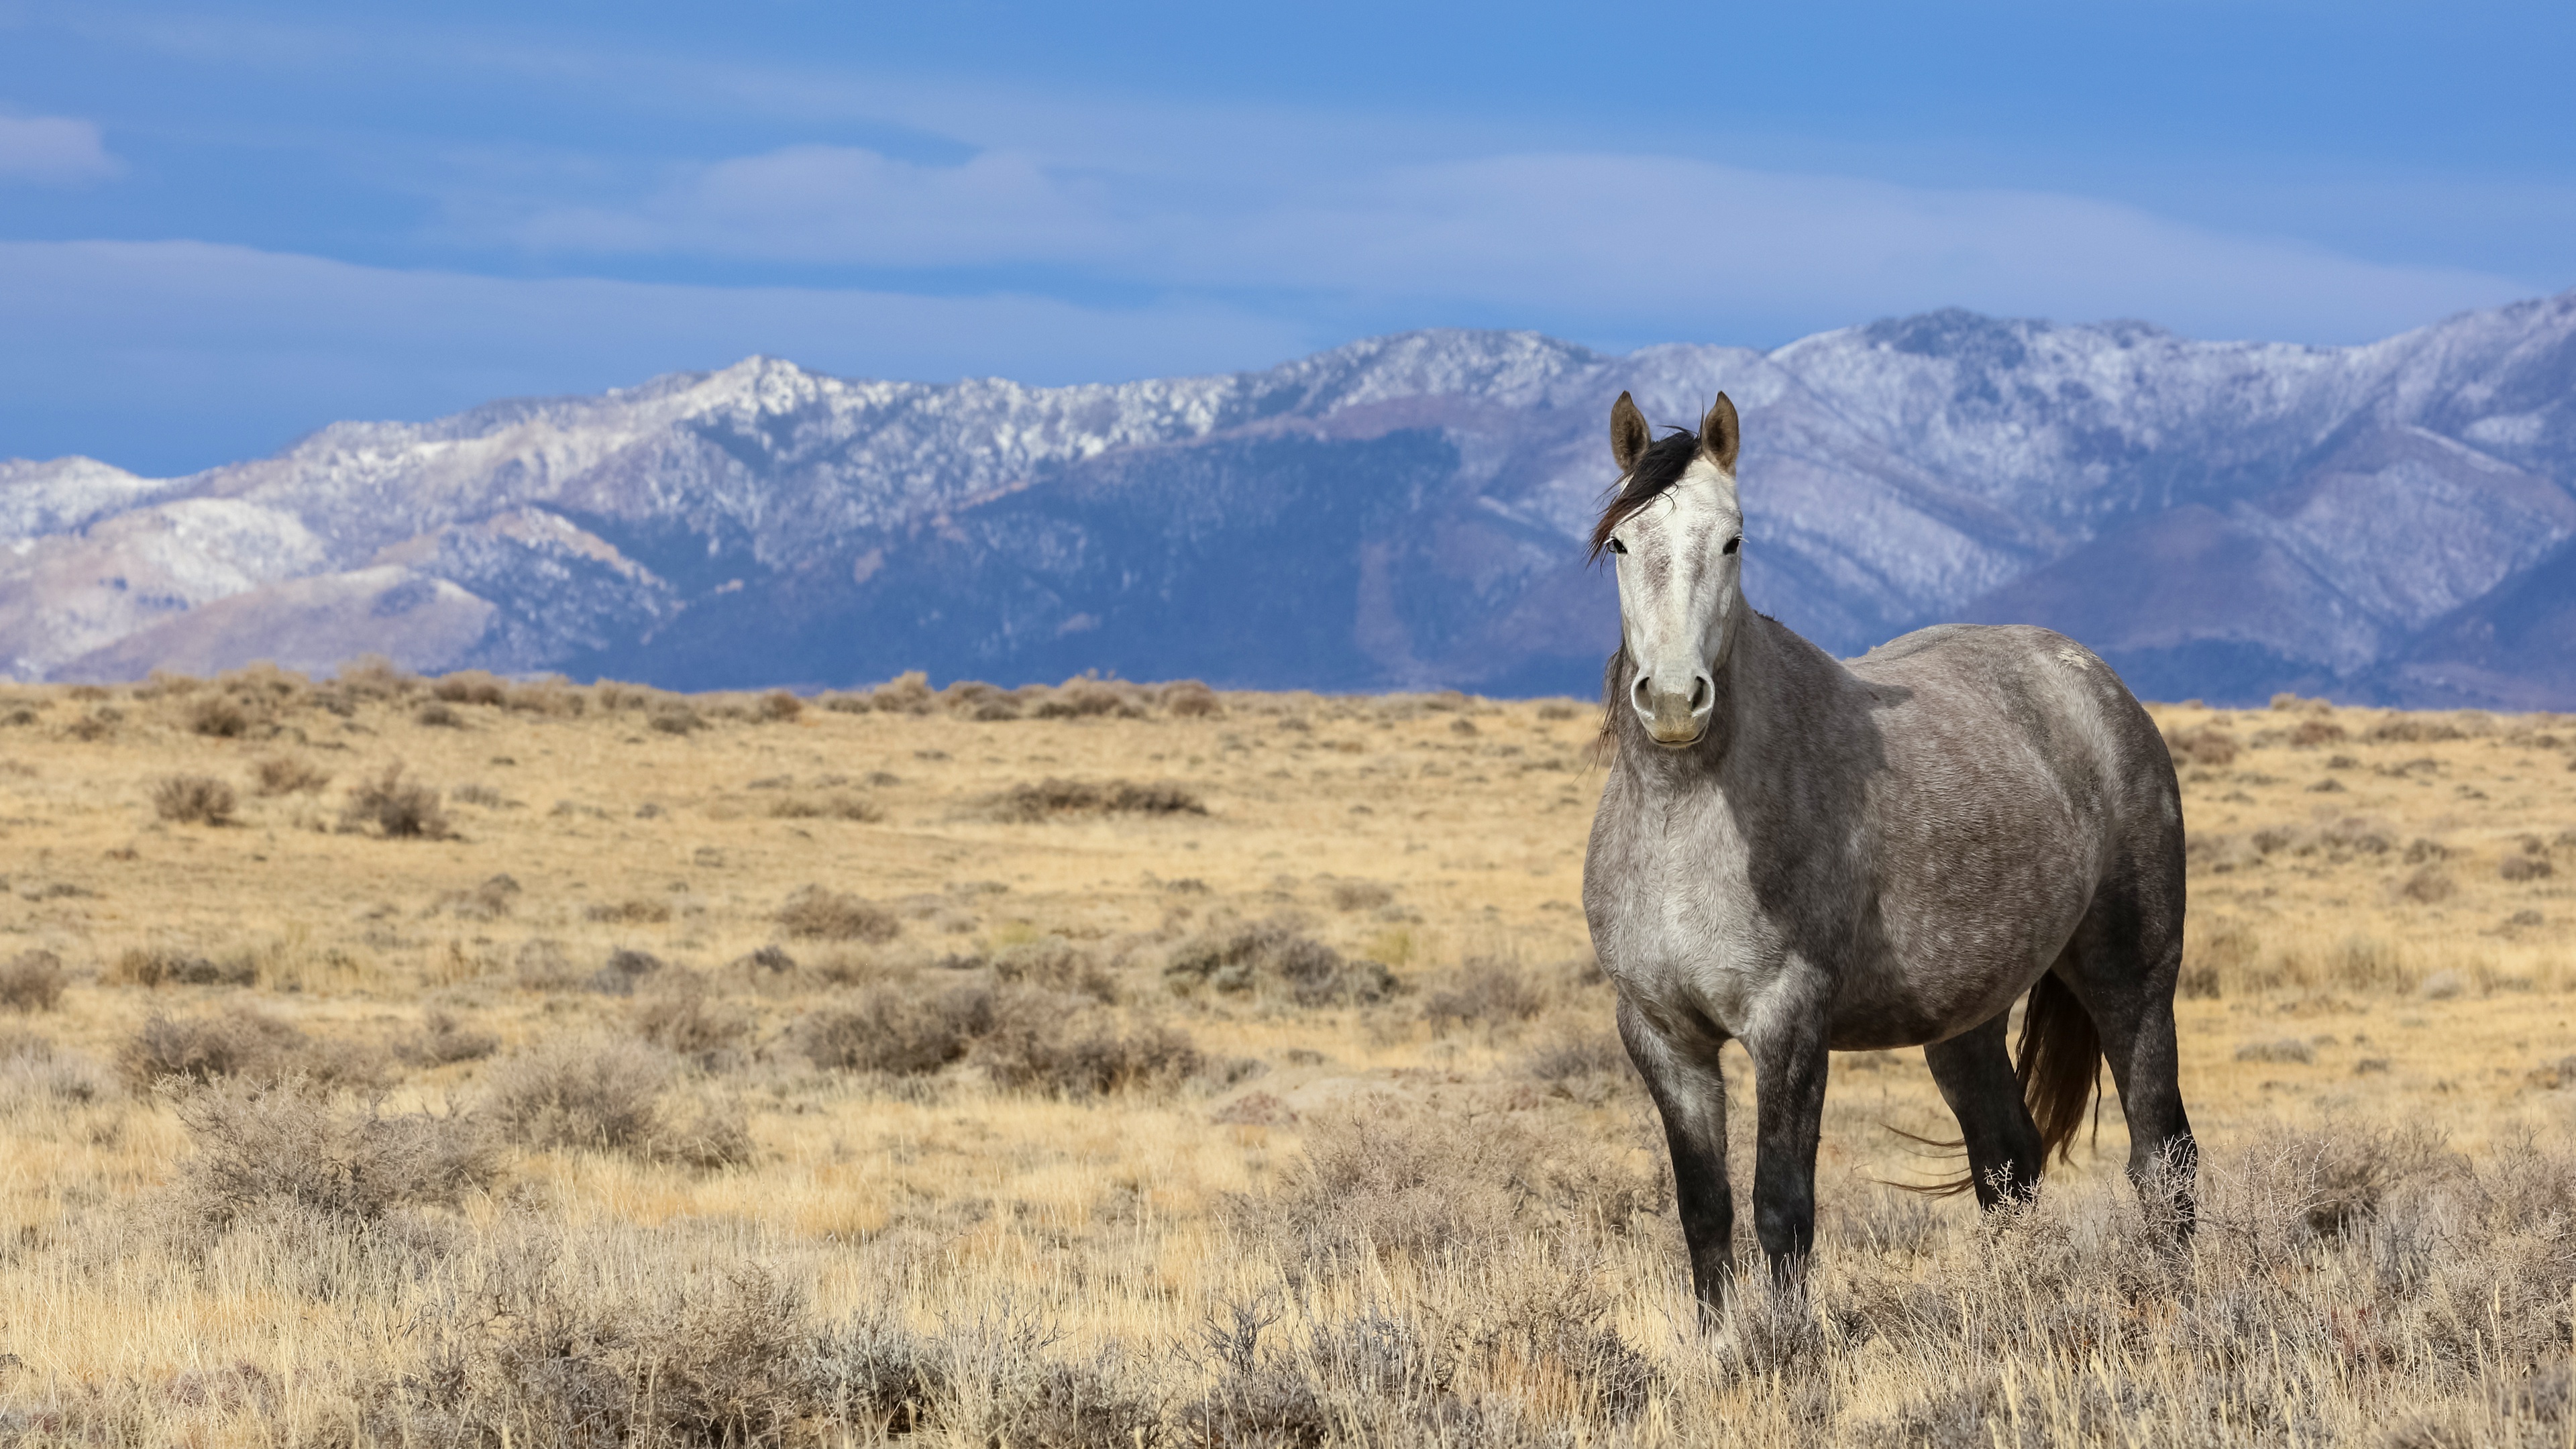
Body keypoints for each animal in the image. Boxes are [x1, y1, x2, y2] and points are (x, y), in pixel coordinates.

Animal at [1576, 389, 2205, 1304]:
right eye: (1623, 542)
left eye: (1733, 540)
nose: (1671, 700)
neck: (1685, 822)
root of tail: (2095, 681)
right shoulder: (1662, 1037)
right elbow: (1705, 1215)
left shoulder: (1790, 1025)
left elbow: (1782, 1211)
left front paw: (1782, 1340)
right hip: (1966, 1021)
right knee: (2009, 1161)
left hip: (2132, 981)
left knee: (2164, 1158)